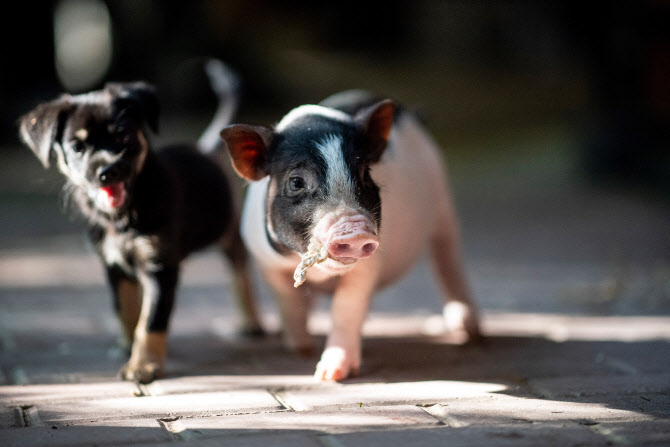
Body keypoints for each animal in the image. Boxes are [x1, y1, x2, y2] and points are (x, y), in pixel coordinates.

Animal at [19, 59, 264, 384]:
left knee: (240, 271)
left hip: (227, 230)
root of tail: (206, 150)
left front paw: (144, 365)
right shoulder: (113, 266)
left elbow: (151, 322)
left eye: (123, 135)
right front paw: (127, 346)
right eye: (77, 147)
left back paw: (251, 321)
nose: (108, 171)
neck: (121, 218)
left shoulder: (160, 268)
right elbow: (125, 309)